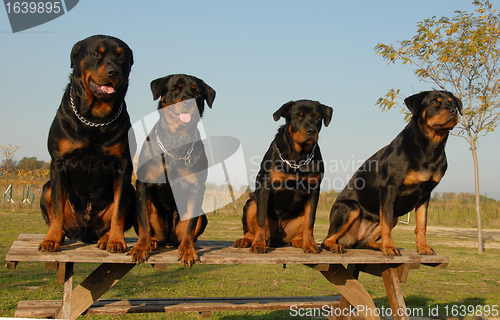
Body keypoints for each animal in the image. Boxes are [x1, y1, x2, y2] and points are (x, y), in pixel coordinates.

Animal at [39, 34, 136, 252]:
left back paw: (106, 238)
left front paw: (116, 240)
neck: (95, 119)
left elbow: (119, 210)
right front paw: (51, 238)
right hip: (46, 188)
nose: (113, 71)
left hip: (132, 191)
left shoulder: (123, 165)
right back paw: (59, 235)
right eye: (95, 53)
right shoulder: (59, 163)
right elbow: (57, 207)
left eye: (123, 58)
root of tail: (86, 232)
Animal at [128, 74, 214, 266]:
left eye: (197, 93)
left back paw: (190, 244)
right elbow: (144, 222)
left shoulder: (196, 187)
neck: (176, 140)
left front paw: (188, 250)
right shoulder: (143, 184)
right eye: (175, 89)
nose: (188, 101)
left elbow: (190, 225)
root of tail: (168, 239)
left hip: (201, 216)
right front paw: (141, 247)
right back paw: (152, 241)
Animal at [233, 100, 332, 255]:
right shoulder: (265, 187)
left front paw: (310, 244)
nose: (311, 130)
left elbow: (310, 222)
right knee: (251, 229)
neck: (298, 158)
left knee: (297, 234)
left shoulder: (314, 190)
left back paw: (301, 242)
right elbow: (261, 219)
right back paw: (247, 240)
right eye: (298, 116)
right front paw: (258, 244)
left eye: (317, 117)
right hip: (251, 203)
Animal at [322, 91, 462, 256]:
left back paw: (378, 246)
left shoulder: (425, 194)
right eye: (435, 102)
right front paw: (389, 247)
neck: (430, 147)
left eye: (453, 103)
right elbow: (386, 223)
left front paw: (423, 247)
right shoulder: (389, 188)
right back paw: (336, 246)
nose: (453, 111)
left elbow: (422, 224)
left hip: (393, 216)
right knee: (327, 239)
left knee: (364, 242)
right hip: (351, 207)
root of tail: (350, 240)